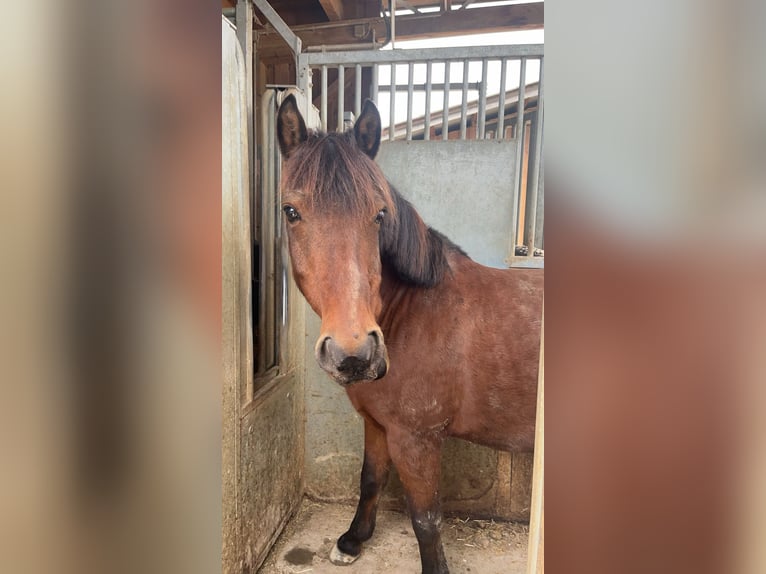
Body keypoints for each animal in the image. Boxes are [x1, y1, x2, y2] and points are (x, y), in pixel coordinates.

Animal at [280, 95, 544, 574]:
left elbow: (425, 518)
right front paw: (352, 541)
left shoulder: (417, 439)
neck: (412, 312)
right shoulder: (378, 425)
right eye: (291, 212)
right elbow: (370, 479)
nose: (354, 353)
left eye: (379, 214)